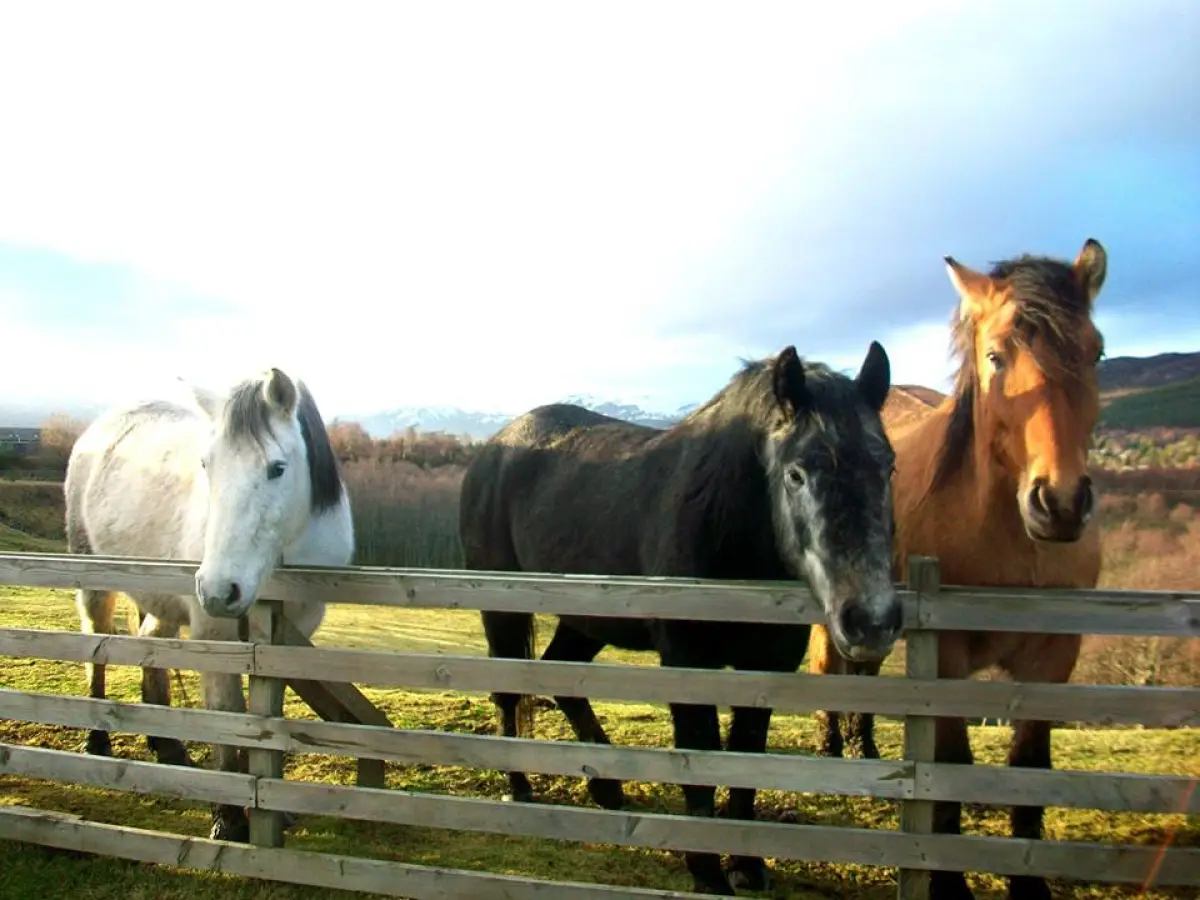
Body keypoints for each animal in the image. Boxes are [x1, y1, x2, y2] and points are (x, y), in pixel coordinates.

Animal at [64, 367, 354, 842]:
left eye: (277, 468)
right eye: (206, 465)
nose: (220, 590)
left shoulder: (287, 640)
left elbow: (265, 717)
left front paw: (272, 809)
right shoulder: (216, 635)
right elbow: (228, 716)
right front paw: (230, 817)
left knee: (152, 647)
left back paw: (168, 747)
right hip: (94, 581)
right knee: (97, 645)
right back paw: (97, 741)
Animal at [459, 342, 904, 896]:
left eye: (889, 468)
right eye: (796, 473)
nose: (871, 620)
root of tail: (493, 447)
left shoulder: (768, 665)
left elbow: (746, 755)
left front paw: (746, 865)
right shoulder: (688, 662)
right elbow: (700, 755)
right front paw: (707, 871)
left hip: (586, 619)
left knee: (562, 678)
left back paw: (607, 787)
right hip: (501, 607)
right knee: (508, 690)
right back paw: (519, 788)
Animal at [806, 239, 1108, 900]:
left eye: (1097, 350)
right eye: (995, 357)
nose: (1060, 502)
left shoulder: (1056, 658)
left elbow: (1030, 768)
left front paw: (1029, 885)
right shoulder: (944, 656)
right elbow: (950, 764)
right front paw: (948, 882)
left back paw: (863, 748)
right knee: (827, 666)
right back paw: (831, 746)